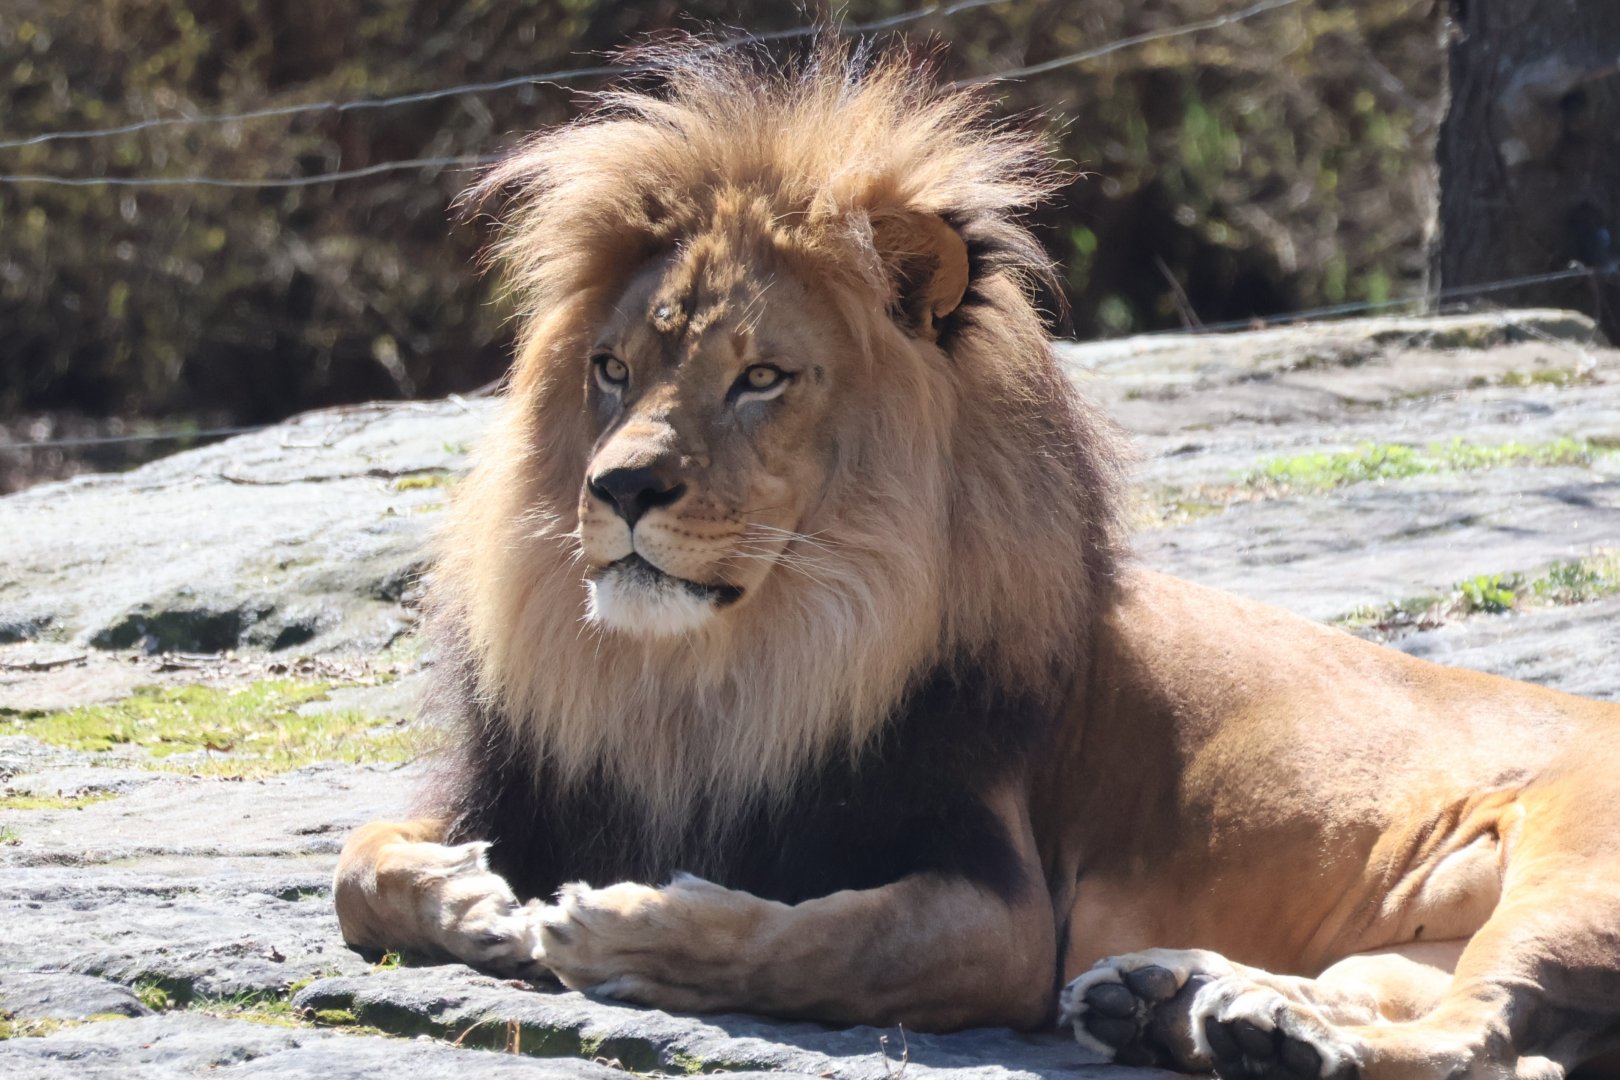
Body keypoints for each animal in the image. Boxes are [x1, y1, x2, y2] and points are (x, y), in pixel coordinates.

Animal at [334, 40, 1620, 1080]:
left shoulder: (999, 906)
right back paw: (1196, 1005)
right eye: (611, 369)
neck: (715, 675)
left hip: (1567, 879)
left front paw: (621, 927)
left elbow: (825, 942)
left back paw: (1261, 1031)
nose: (621, 489)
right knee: (1492, 1036)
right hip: (1400, 952)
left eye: (761, 377)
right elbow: (357, 871)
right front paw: (468, 896)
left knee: (1478, 1040)